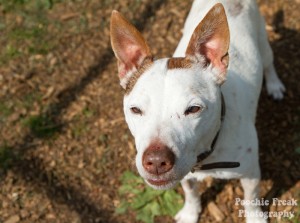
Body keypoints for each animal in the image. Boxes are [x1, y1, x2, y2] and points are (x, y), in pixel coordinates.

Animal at [110, 0, 286, 222]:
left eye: (193, 109)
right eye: (135, 110)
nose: (156, 161)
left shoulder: (251, 174)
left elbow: (251, 199)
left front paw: (255, 218)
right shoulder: (187, 174)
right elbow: (191, 193)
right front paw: (190, 213)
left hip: (263, 43)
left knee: (269, 63)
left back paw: (274, 85)